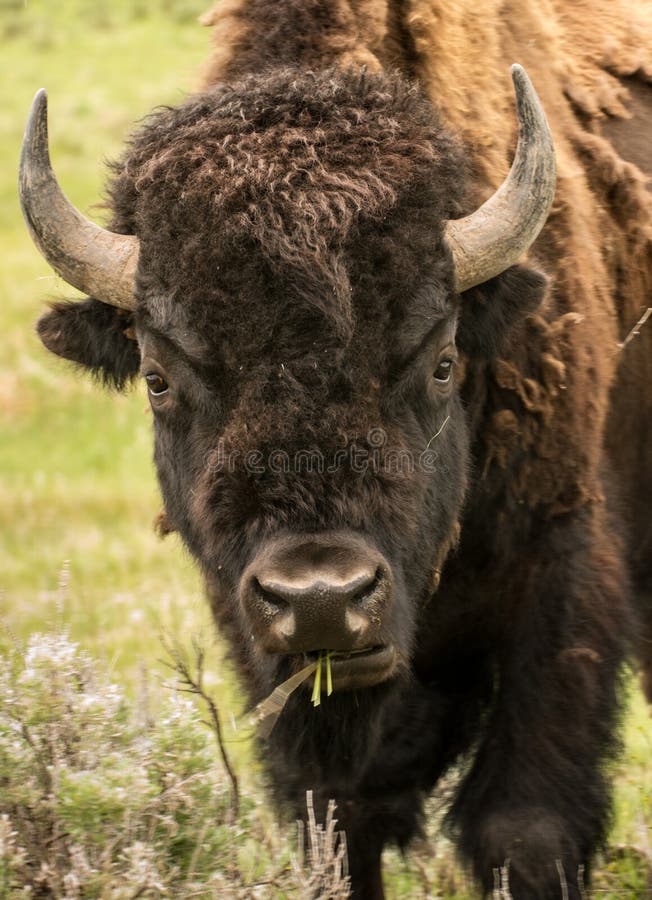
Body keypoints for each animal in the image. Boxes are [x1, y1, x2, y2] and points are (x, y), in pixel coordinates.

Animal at [17, 1, 648, 900]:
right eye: (158, 377)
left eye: (443, 360)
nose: (320, 597)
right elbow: (342, 827)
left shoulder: (559, 566)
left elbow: (523, 827)